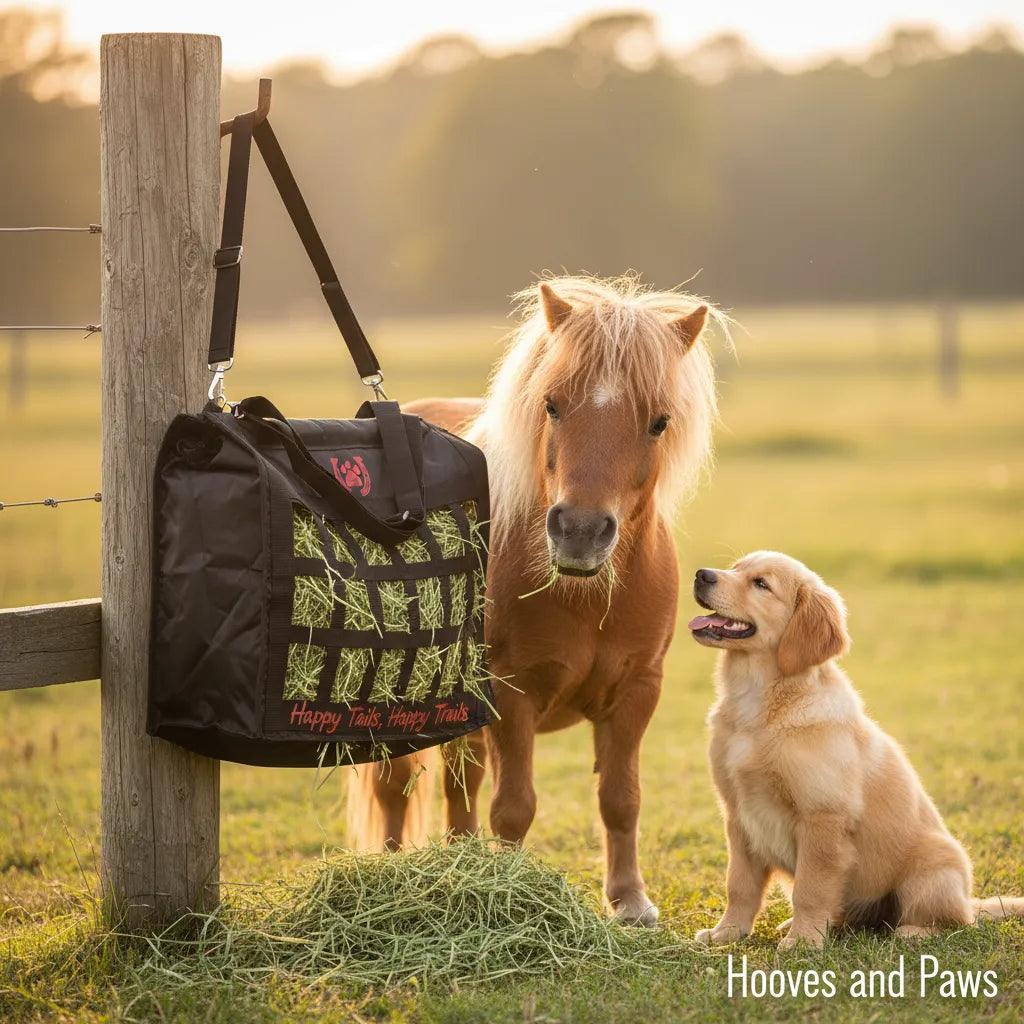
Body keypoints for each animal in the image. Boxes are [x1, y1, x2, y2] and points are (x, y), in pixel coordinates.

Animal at [348, 274, 722, 925]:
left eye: (658, 421)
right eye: (552, 405)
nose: (579, 531)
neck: (584, 597)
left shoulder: (638, 691)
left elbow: (621, 799)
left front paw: (630, 901)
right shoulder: (511, 692)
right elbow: (514, 806)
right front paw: (509, 895)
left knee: (459, 782)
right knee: (396, 786)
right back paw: (392, 875)